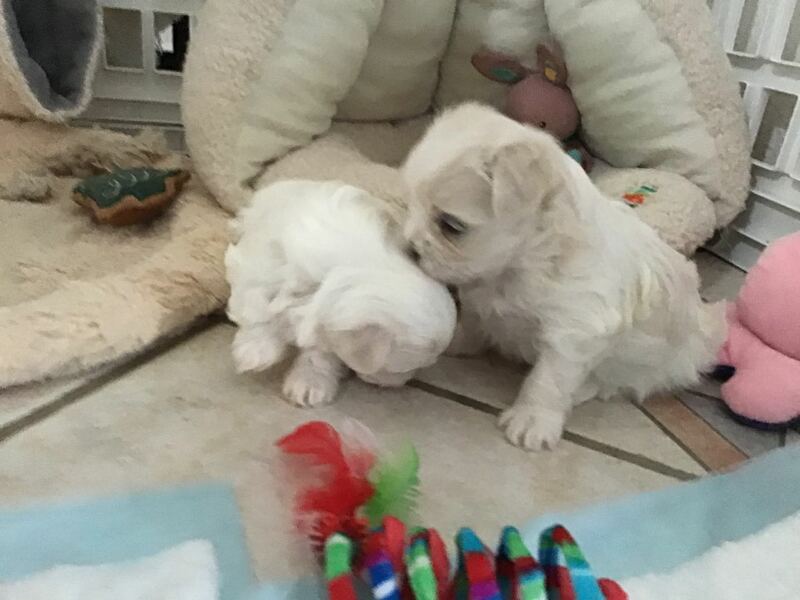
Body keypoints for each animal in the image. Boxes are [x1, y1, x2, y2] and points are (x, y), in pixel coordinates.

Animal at [225, 180, 456, 407]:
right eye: (401, 369)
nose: (401, 383)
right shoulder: (258, 267)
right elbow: (254, 307)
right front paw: (255, 350)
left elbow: (320, 351)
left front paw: (310, 382)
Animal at [403, 103, 725, 450]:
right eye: (409, 206)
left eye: (451, 225)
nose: (409, 248)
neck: (520, 263)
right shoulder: (480, 296)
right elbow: (474, 322)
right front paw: (456, 341)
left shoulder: (577, 330)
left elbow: (550, 379)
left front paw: (532, 420)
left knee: (607, 383)